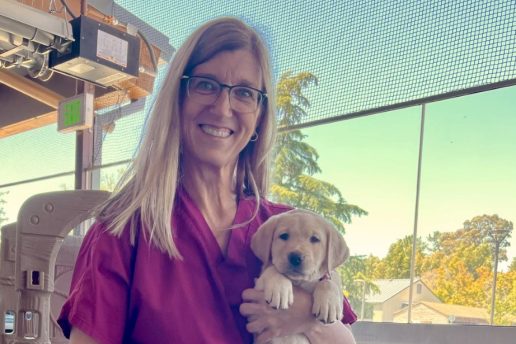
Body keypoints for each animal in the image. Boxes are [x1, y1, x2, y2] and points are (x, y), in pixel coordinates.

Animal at [251, 208, 350, 342]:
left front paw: (330, 303)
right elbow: (272, 268)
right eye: (284, 236)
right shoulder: (257, 287)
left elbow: (329, 279)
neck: (299, 281)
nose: (295, 257)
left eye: (315, 239)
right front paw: (279, 289)